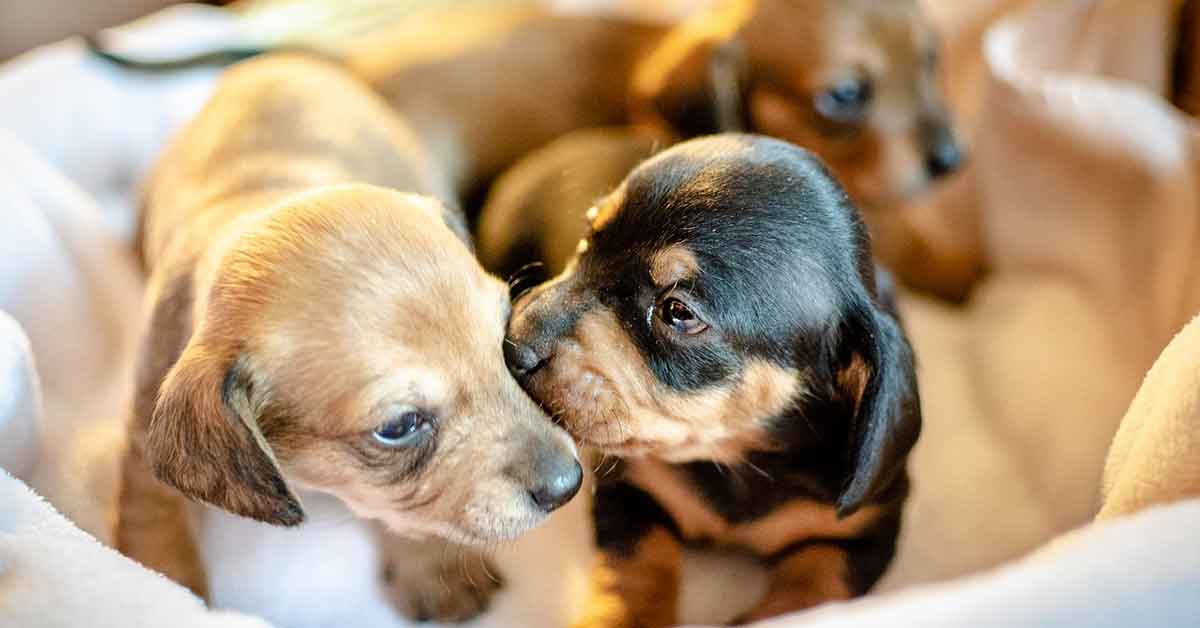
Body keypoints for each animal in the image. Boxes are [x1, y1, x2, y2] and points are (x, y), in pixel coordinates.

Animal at [504, 135, 916, 624]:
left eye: (677, 312)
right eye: (587, 238)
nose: (512, 344)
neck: (738, 457)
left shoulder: (864, 531)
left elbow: (816, 584)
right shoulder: (632, 487)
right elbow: (637, 567)